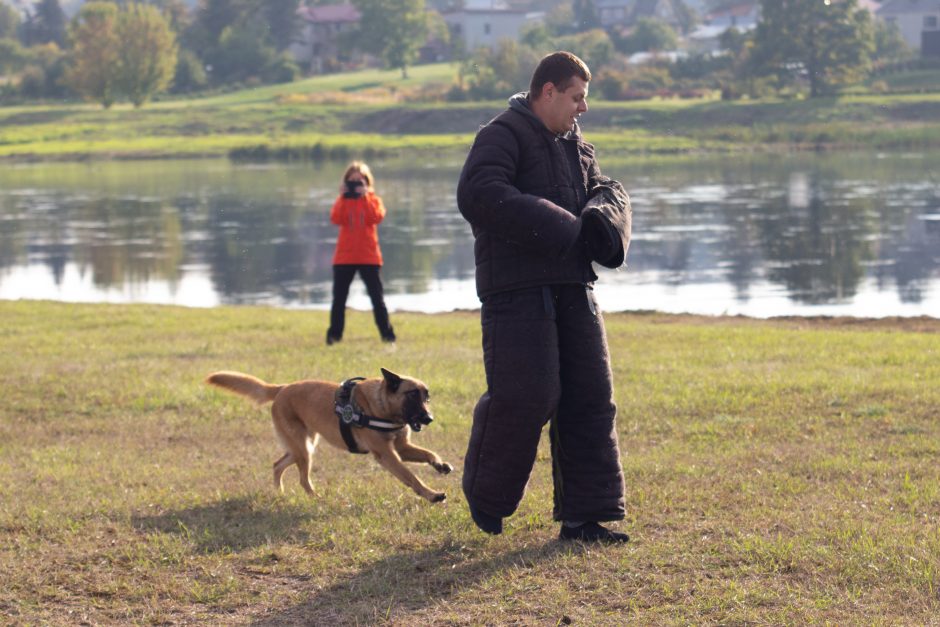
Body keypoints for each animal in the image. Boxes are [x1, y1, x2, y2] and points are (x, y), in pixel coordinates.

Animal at [207, 370, 456, 502]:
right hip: (303, 449)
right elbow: (412, 477)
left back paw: (280, 493)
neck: (381, 406)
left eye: (427, 397)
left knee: (277, 465)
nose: (429, 418)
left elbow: (429, 453)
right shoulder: (388, 456)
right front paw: (431, 494)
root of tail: (282, 388)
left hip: (302, 447)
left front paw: (440, 464)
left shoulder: (402, 449)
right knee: (301, 478)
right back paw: (314, 498)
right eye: (412, 395)